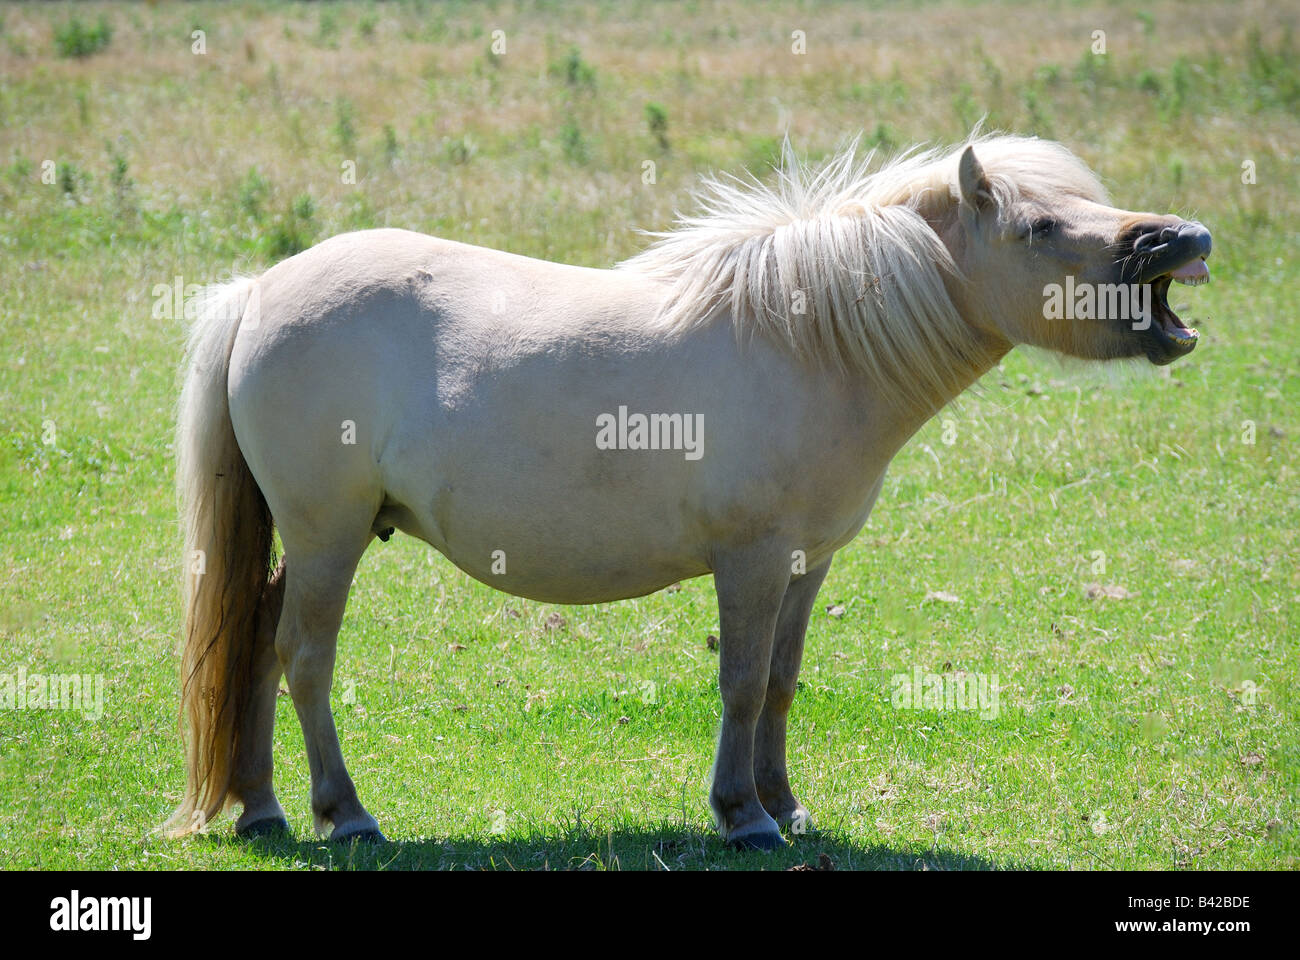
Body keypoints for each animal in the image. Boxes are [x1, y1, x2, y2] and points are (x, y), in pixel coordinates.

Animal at [167, 132, 1211, 842]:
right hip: (328, 534)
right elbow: (740, 683)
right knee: (305, 658)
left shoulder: (806, 565)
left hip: (313, 539)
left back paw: (261, 809)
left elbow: (782, 682)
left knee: (255, 643)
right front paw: (741, 815)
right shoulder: (750, 561)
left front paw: (786, 806)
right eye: (1041, 225)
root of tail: (259, 291)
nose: (1186, 236)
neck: (811, 344)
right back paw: (344, 814)